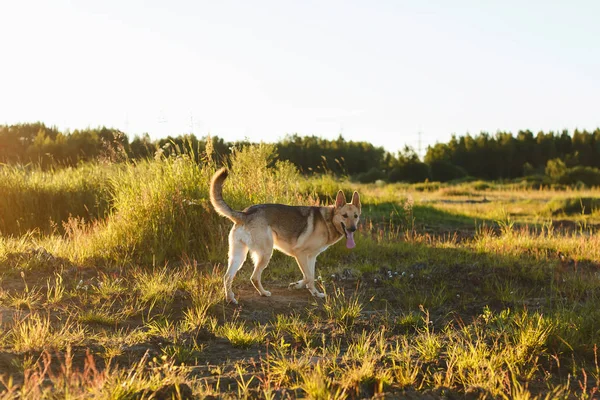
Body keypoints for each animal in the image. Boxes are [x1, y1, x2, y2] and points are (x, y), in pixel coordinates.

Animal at [210, 168, 360, 304]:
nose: (352, 229)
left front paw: (314, 293)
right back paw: (263, 293)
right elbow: (308, 277)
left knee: (227, 277)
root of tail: (245, 213)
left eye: (356, 216)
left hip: (239, 256)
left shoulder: (311, 257)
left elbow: (311, 277)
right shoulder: (300, 254)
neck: (328, 220)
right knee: (254, 277)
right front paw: (297, 286)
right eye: (344, 216)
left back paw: (230, 298)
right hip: (265, 254)